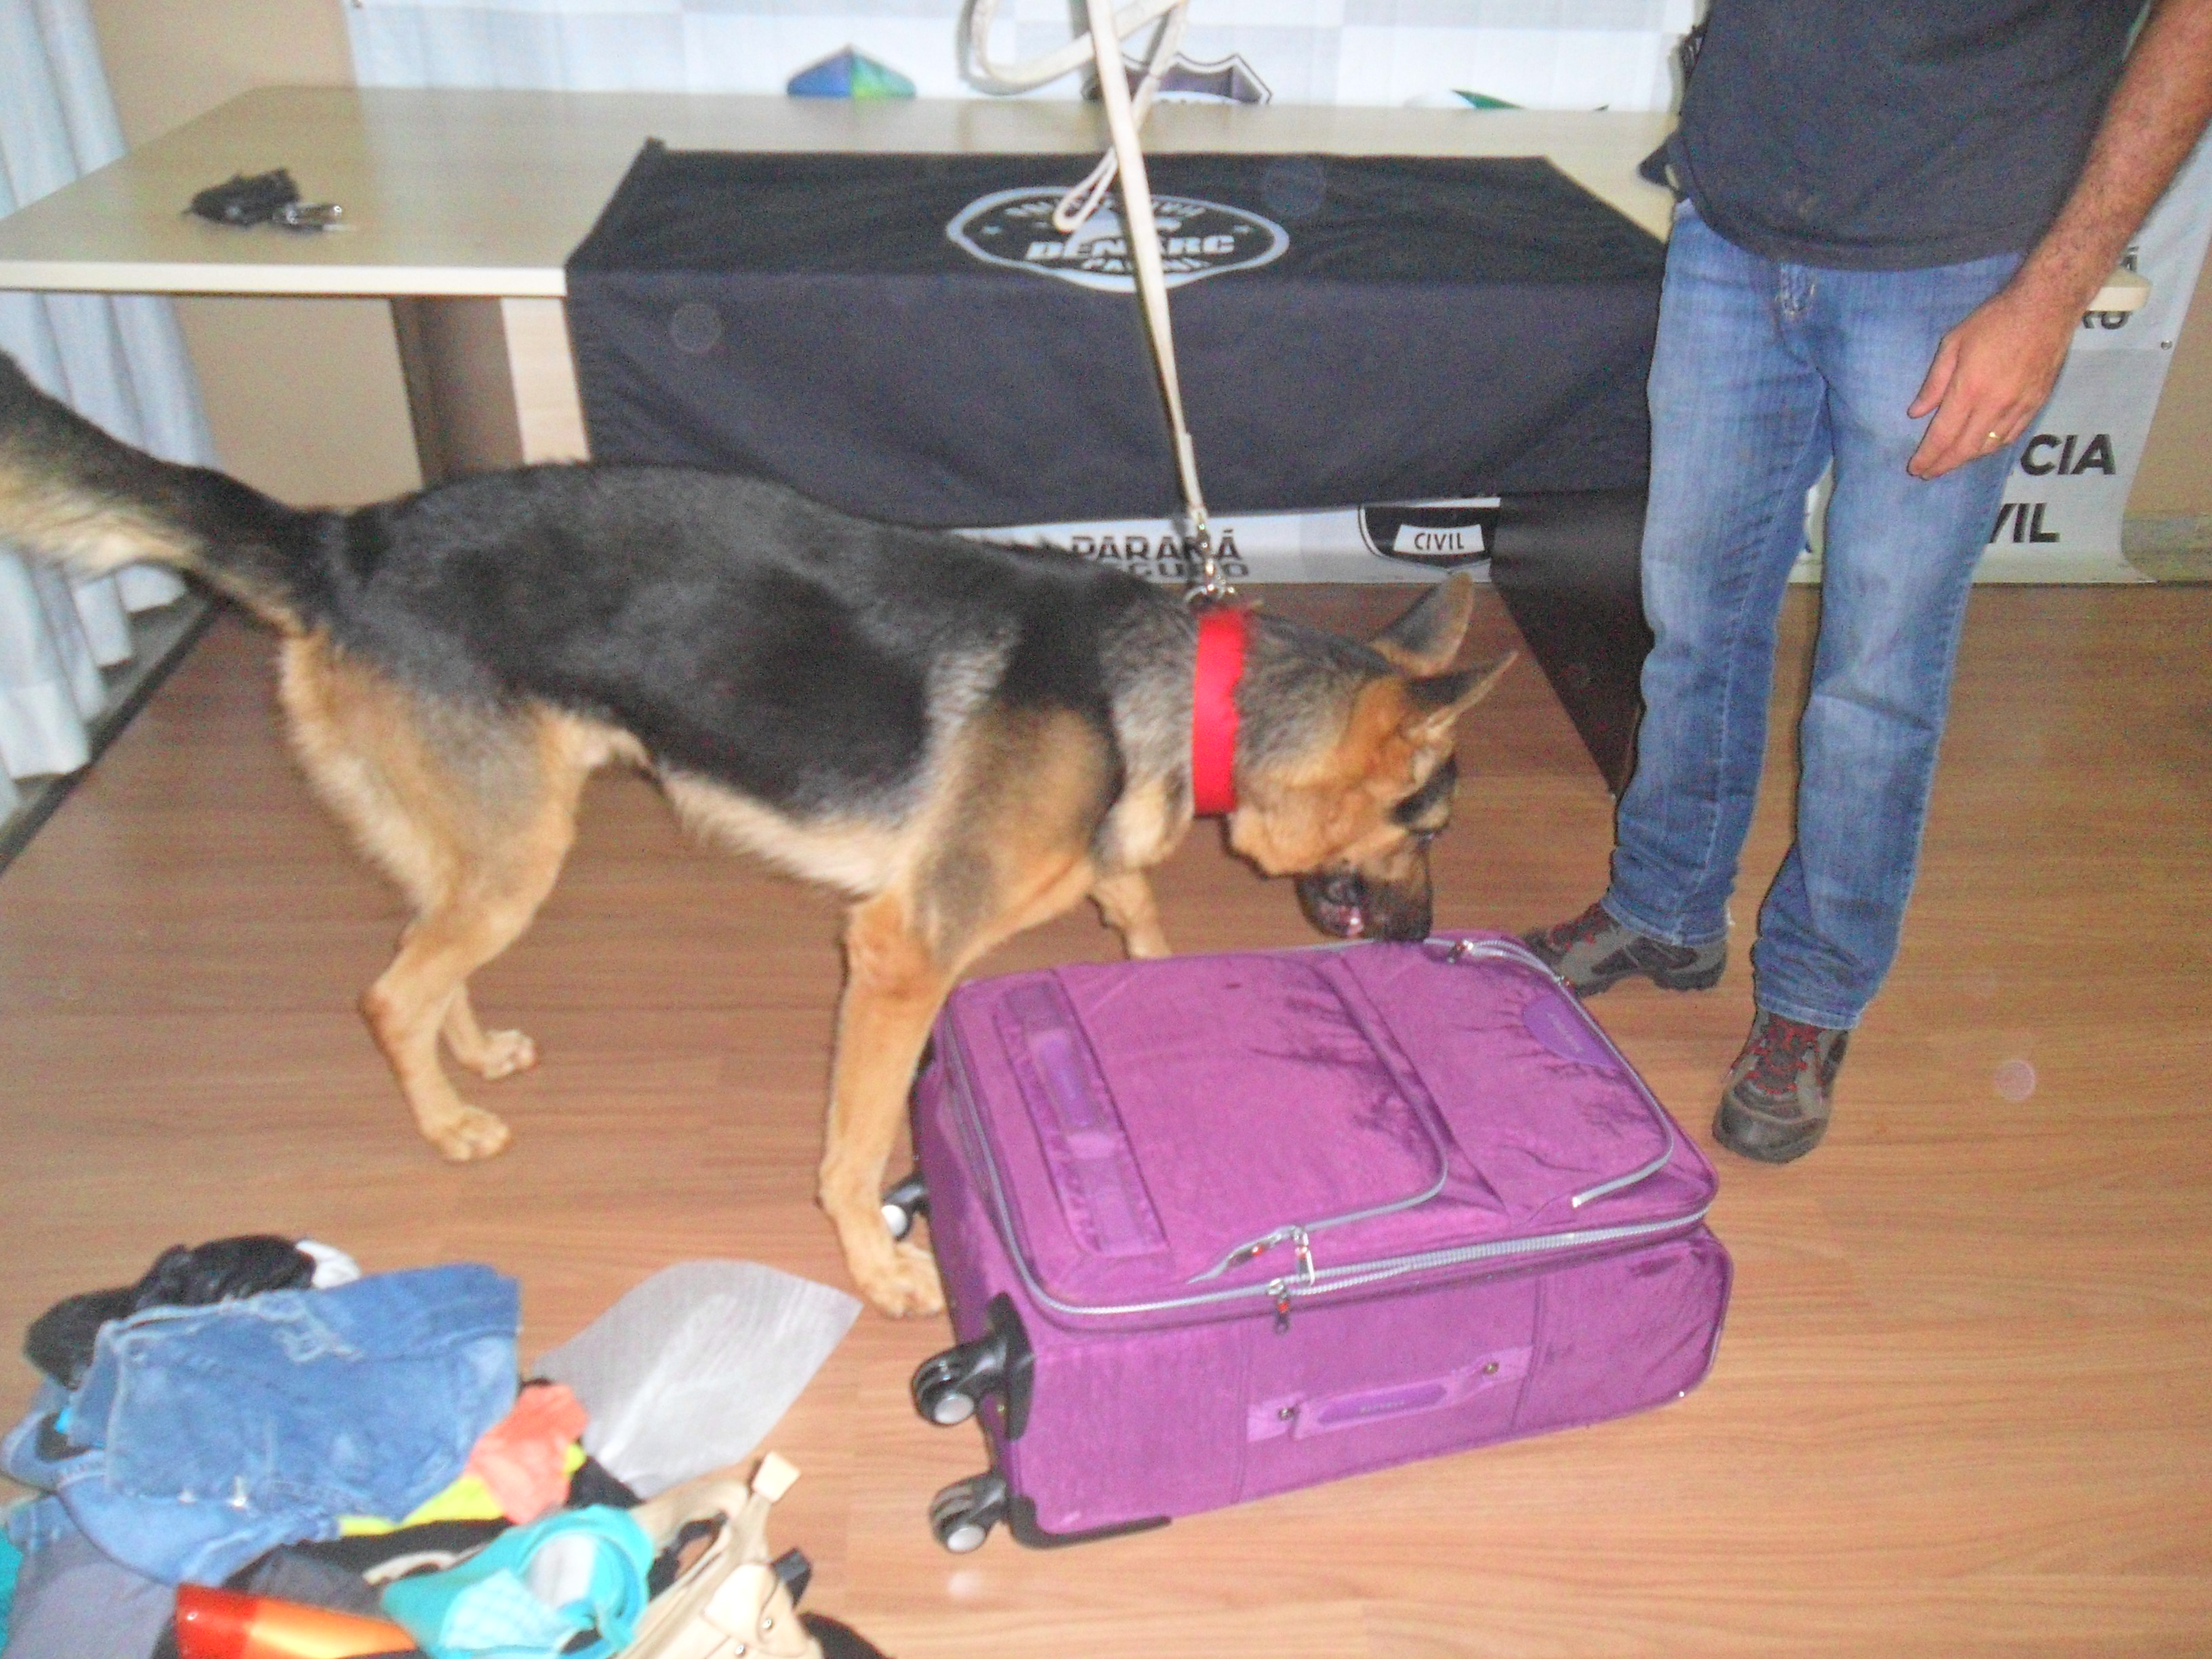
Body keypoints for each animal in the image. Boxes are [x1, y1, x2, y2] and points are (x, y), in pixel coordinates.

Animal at [0, 351, 1508, 1316]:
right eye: (1429, 822)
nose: (1430, 935)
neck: (1179, 688)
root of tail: (342, 540)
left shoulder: (1078, 866)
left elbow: (1133, 903)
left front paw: (1166, 978)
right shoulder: (901, 956)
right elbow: (850, 1148)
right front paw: (880, 1266)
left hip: (494, 843)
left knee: (424, 965)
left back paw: (473, 1052)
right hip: (520, 850)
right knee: (385, 993)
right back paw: (449, 1122)